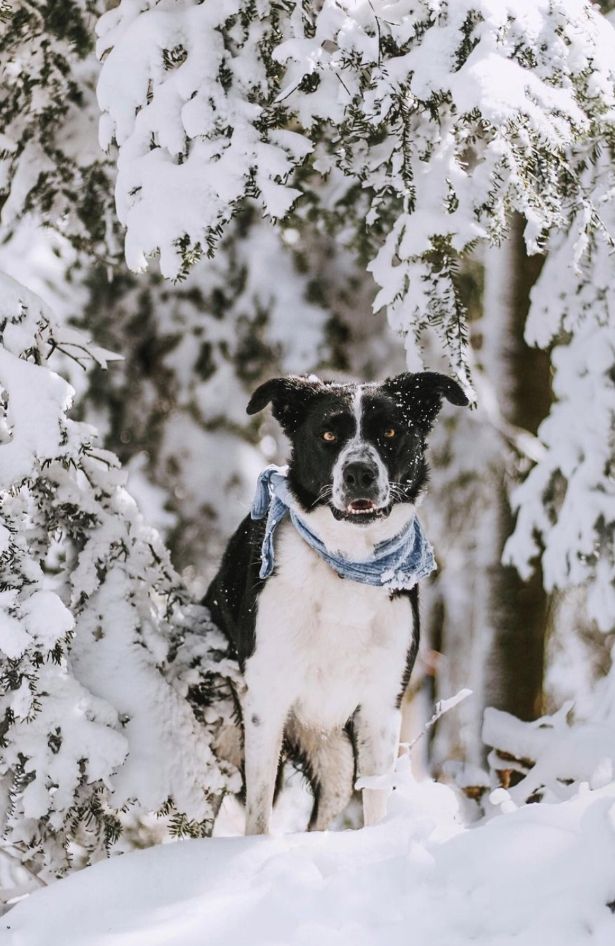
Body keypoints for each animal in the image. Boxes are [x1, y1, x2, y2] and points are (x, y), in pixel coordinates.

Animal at [205, 372, 470, 828]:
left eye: (390, 431)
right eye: (328, 434)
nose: (359, 472)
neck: (349, 563)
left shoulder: (383, 701)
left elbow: (376, 802)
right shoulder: (266, 698)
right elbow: (259, 813)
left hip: (335, 755)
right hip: (227, 734)